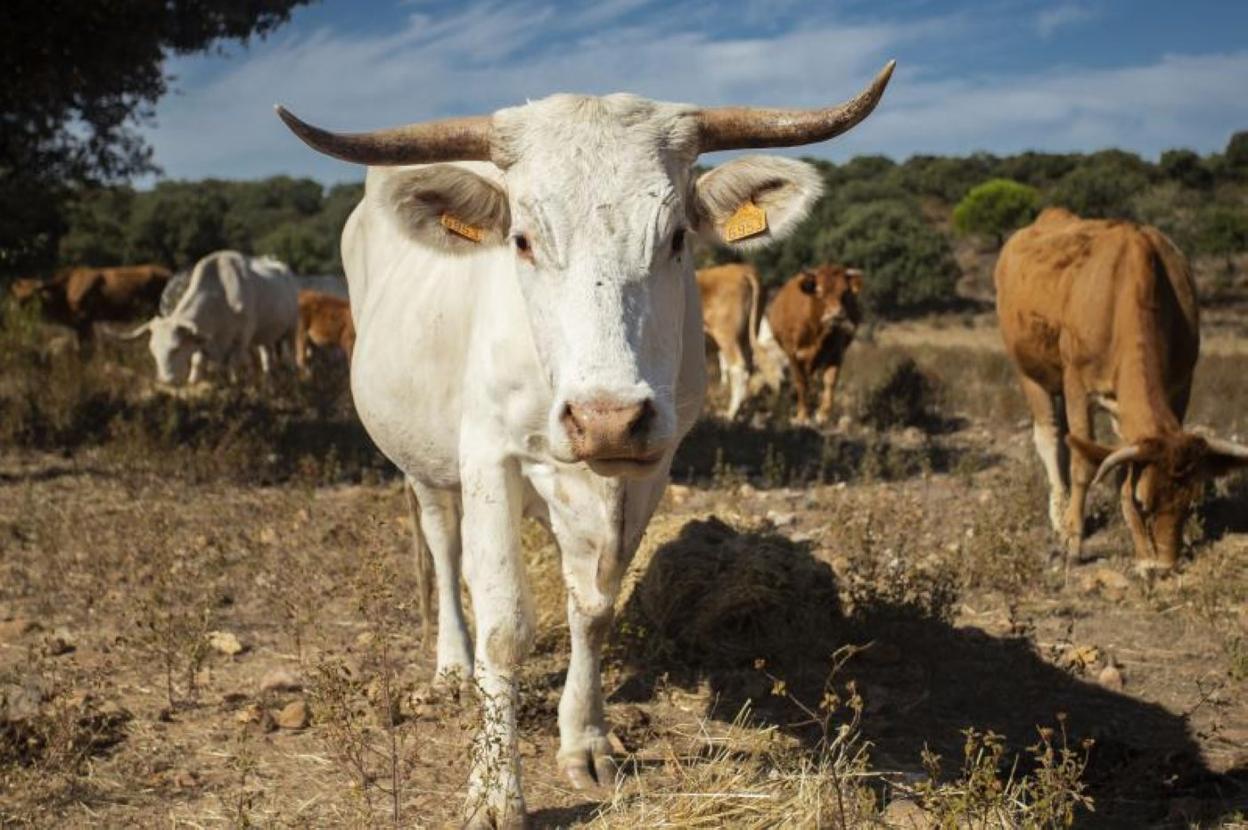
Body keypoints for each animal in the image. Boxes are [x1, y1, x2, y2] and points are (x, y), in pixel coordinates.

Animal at [123, 249, 299, 384]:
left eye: (176, 348)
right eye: (153, 350)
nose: (165, 380)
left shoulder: (242, 337)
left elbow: (234, 364)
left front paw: (235, 383)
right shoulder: (202, 338)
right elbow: (197, 361)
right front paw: (193, 381)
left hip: (291, 328)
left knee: (289, 353)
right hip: (265, 334)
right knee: (266, 354)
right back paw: (268, 378)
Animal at [763, 262, 863, 424]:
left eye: (845, 292)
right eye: (819, 291)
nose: (836, 314)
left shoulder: (836, 353)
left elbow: (829, 381)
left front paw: (823, 415)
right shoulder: (793, 354)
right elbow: (801, 382)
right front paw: (802, 415)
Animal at [993, 207, 1248, 569]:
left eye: (1190, 500)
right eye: (1144, 502)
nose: (1165, 565)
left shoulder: (1179, 387)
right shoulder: (1077, 386)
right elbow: (1084, 463)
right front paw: (1073, 539)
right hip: (1029, 373)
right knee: (1050, 436)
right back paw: (1059, 512)